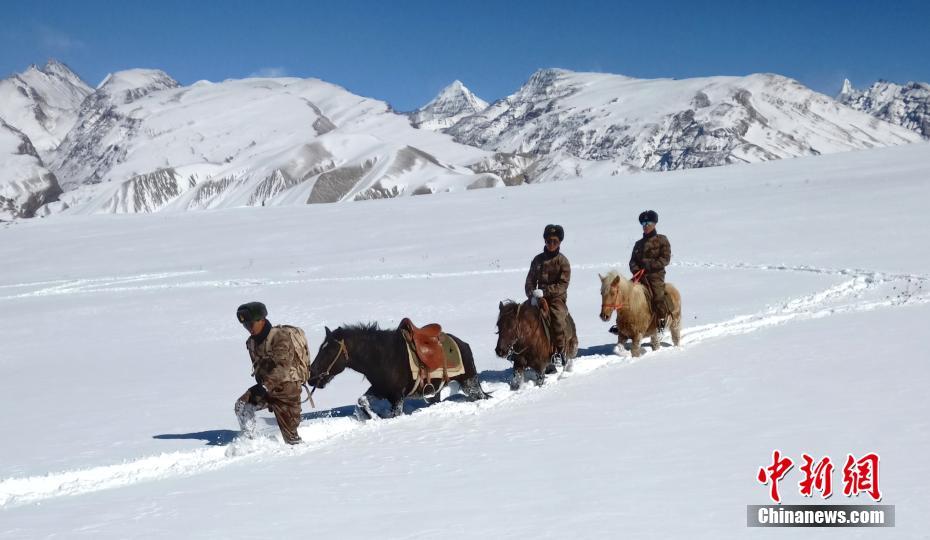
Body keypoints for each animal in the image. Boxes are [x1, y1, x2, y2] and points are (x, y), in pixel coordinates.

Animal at [308, 322, 490, 420]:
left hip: (469, 382)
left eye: (329, 351)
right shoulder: (381, 390)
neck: (380, 356)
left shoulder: (397, 396)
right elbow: (362, 400)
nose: (311, 377)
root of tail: (463, 344)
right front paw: (372, 416)